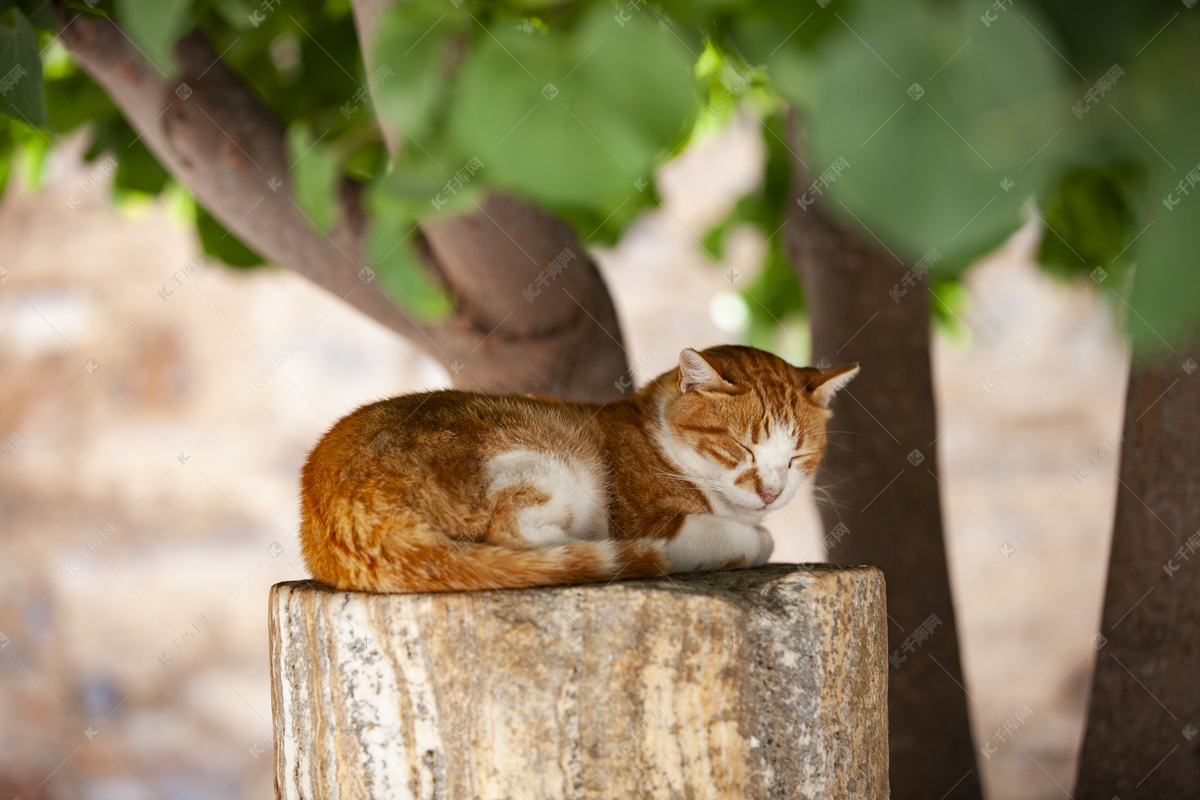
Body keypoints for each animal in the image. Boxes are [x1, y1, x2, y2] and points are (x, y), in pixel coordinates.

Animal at [302, 345, 864, 594]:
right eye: (740, 449)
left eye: (796, 457)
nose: (771, 492)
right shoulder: (659, 524)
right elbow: (754, 540)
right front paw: (754, 537)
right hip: (537, 465)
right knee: (517, 540)